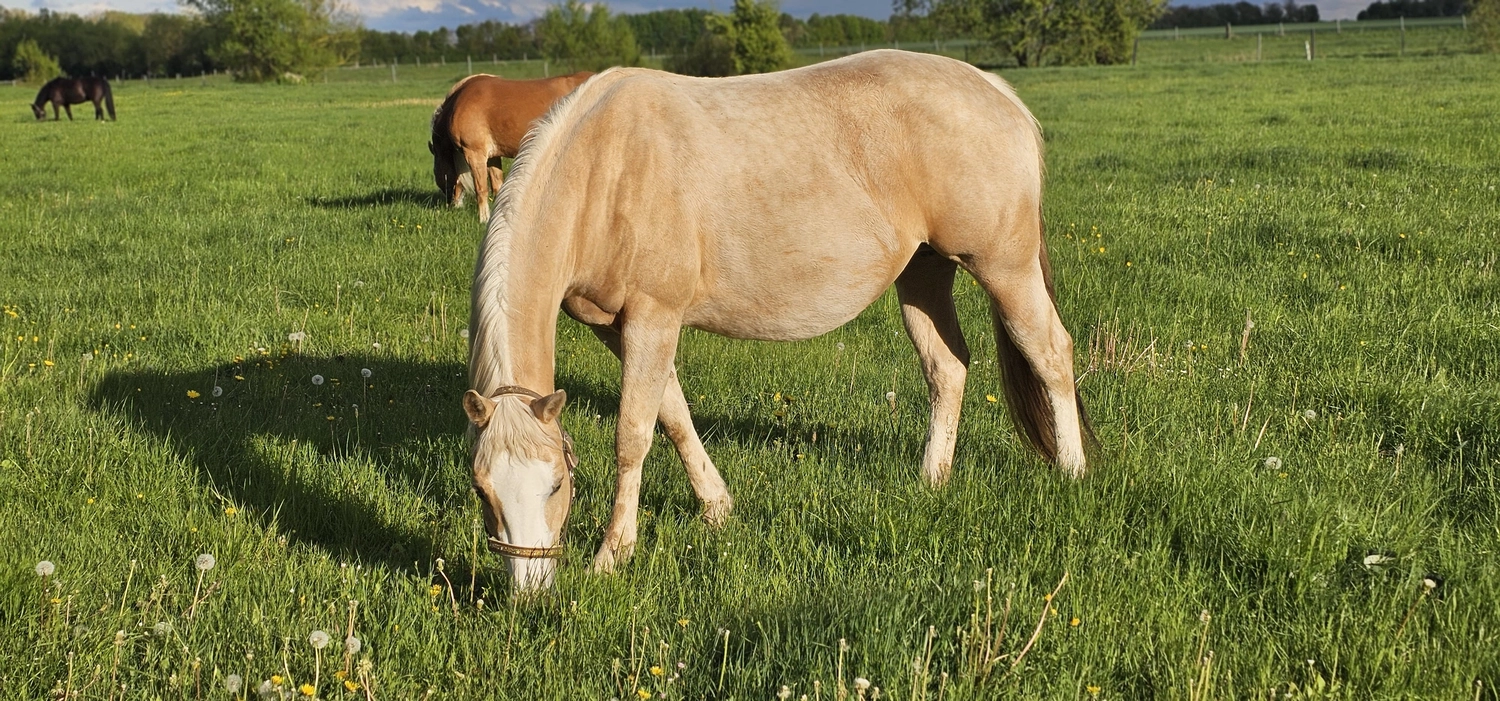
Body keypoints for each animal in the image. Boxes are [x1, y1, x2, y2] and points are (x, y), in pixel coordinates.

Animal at [429, 72, 594, 223]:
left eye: (436, 171)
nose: (453, 205)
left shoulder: (475, 154)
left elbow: (481, 189)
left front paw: (484, 219)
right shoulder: (493, 157)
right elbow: (497, 187)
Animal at [462, 50, 1096, 590]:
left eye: (556, 483)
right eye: (482, 492)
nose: (531, 590)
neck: (605, 169)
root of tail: (994, 90)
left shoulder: (653, 317)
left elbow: (634, 434)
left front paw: (613, 555)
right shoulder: (617, 326)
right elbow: (673, 414)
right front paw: (717, 508)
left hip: (1005, 268)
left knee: (1051, 353)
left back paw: (1073, 471)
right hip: (923, 273)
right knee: (948, 368)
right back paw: (931, 480)